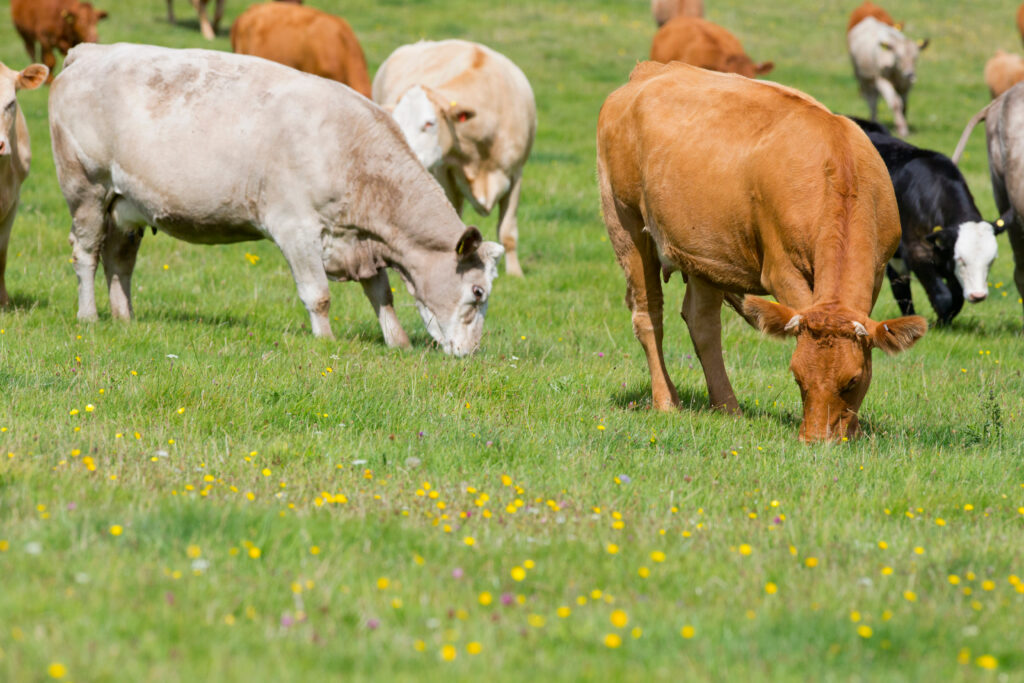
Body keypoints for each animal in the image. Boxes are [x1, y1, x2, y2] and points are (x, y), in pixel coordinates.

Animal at [49, 44, 505, 355]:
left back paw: (124, 318)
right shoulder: (296, 228)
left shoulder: (358, 241)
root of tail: (91, 51)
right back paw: (89, 316)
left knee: (119, 261)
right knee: (86, 253)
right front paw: (326, 342)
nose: (471, 353)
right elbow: (318, 294)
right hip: (86, 190)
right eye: (478, 291)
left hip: (126, 206)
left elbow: (381, 294)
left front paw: (398, 343)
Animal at [373, 40, 536, 278]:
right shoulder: (444, 175)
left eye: (429, 123)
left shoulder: (516, 174)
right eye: (396, 122)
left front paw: (515, 274)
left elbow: (507, 232)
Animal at [597, 61, 926, 442]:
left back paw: (728, 407)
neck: (840, 169)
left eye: (852, 380)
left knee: (703, 324)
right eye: (796, 375)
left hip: (704, 253)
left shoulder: (875, 273)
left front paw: (855, 429)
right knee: (649, 316)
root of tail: (649, 71)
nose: (814, 440)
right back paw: (666, 400)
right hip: (626, 224)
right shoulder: (782, 271)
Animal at [848, 117, 1003, 325]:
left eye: (991, 260)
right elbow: (943, 296)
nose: (978, 295)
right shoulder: (917, 251)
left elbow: (956, 299)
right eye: (961, 259)